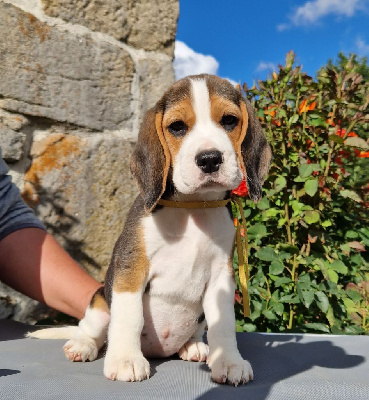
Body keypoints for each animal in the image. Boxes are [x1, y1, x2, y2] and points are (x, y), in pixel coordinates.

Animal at [30, 73, 270, 386]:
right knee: (93, 329)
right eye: (177, 126)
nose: (209, 159)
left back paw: (193, 346)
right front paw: (125, 360)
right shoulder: (132, 268)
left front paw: (228, 361)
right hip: (100, 301)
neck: (192, 207)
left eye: (229, 120)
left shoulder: (221, 275)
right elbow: (129, 316)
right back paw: (82, 345)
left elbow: (224, 324)